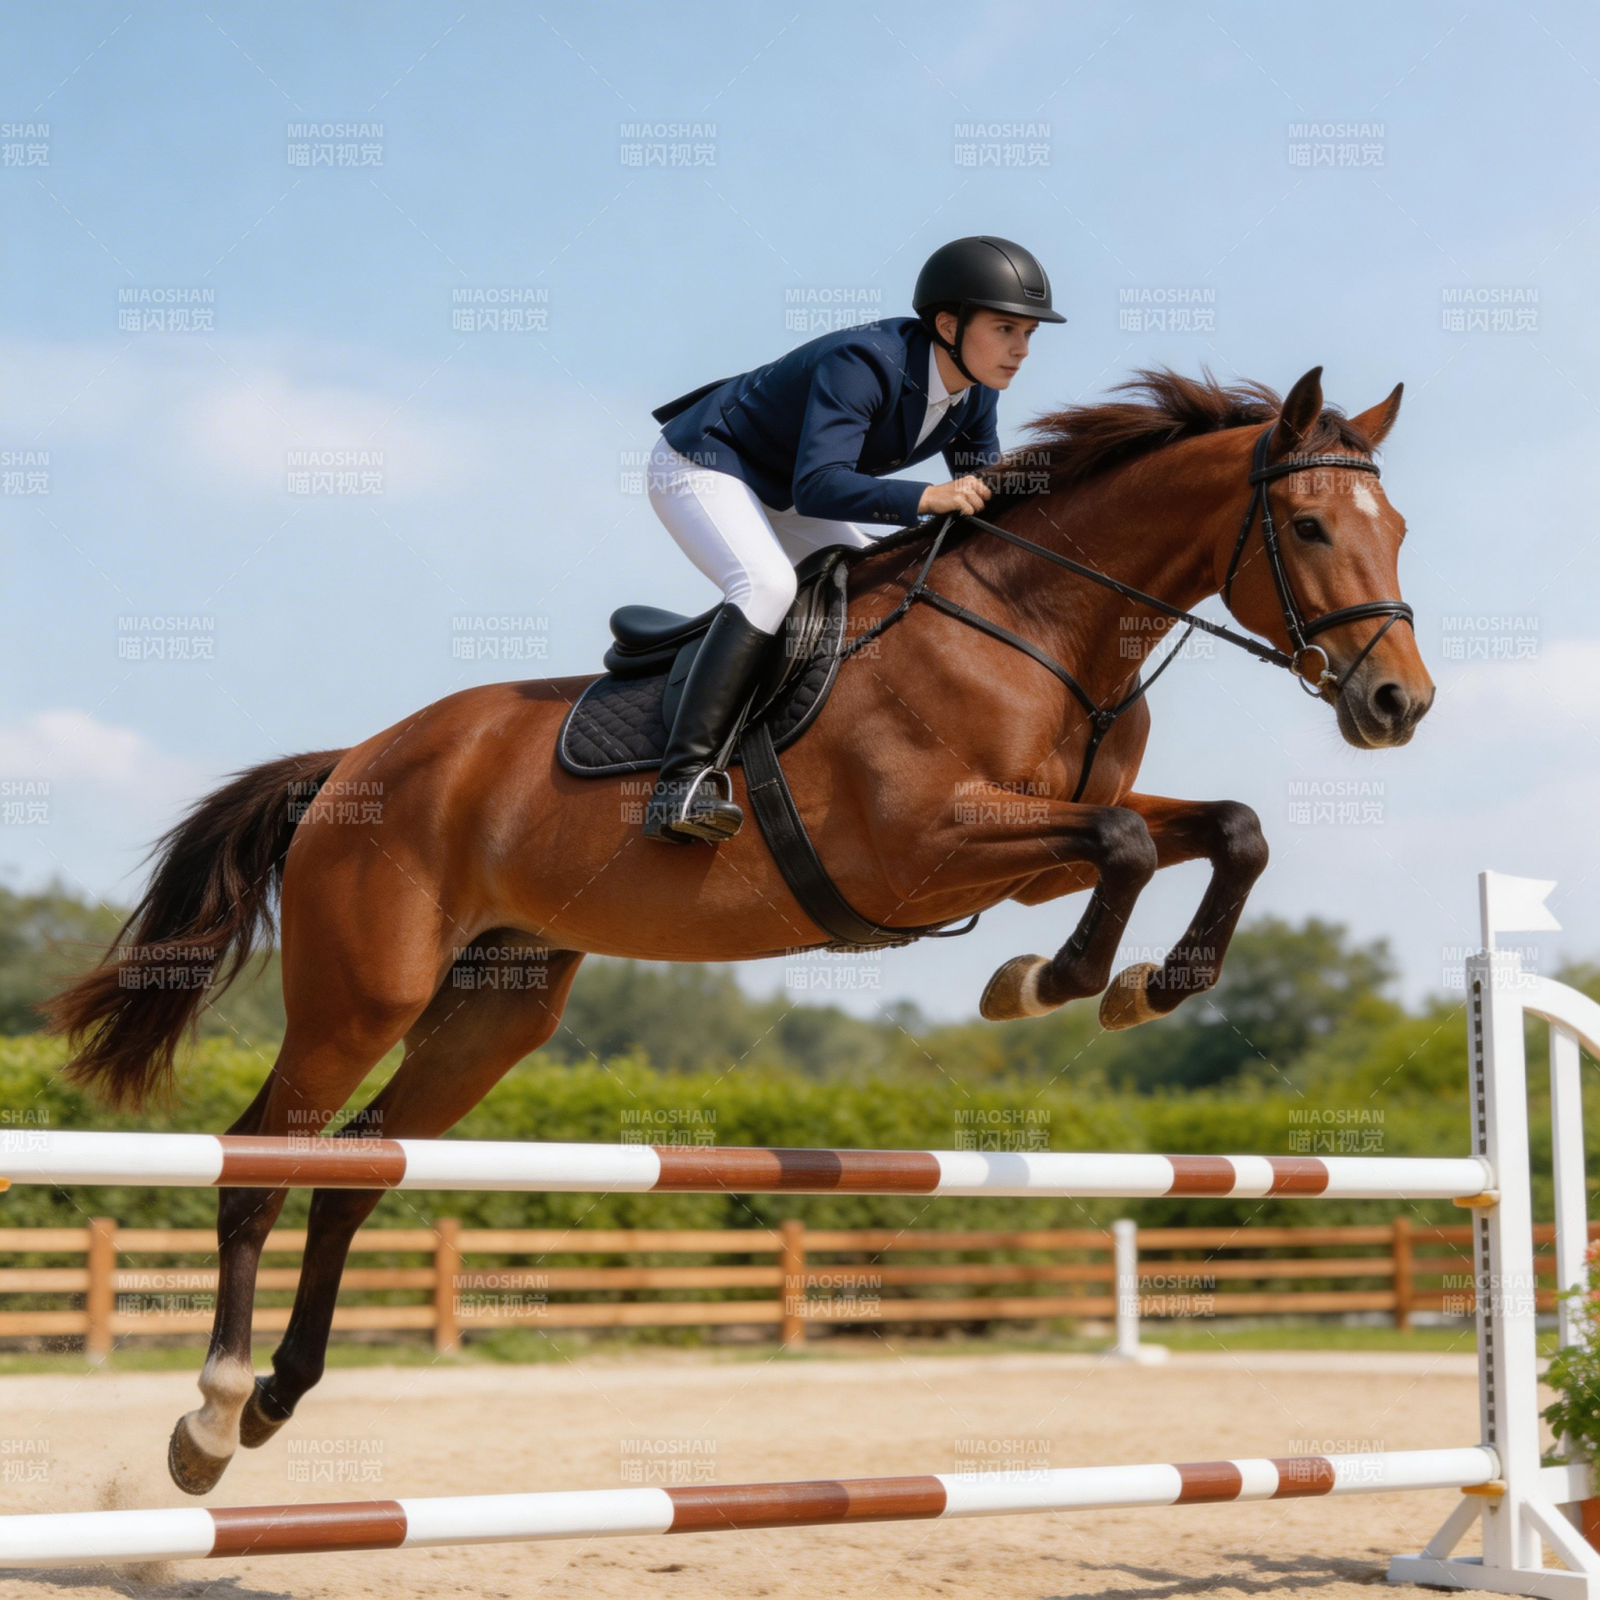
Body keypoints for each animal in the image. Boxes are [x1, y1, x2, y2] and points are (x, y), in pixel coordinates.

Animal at [46, 365, 1431, 1494]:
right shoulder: (925, 847)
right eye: (1308, 525)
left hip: (495, 1012)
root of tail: (352, 767)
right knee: (259, 1166)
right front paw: (1053, 982)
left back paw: (278, 1398)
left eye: (1398, 528)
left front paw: (1142, 984)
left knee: (354, 1176)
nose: (1396, 704)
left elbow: (1226, 829)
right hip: (362, 996)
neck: (1044, 626)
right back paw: (212, 1417)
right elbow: (1132, 848)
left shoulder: (1038, 846)